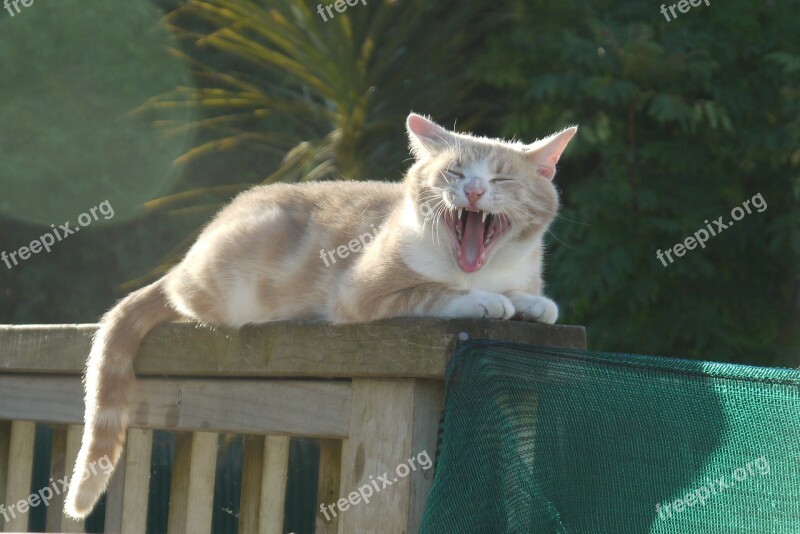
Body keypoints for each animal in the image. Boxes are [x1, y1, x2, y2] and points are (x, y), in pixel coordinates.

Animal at [62, 113, 576, 520]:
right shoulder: (360, 291)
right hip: (221, 283)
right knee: (177, 295)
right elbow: (437, 291)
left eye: (502, 180)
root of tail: (195, 250)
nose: (472, 188)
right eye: (454, 171)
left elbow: (532, 296)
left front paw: (533, 304)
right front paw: (485, 300)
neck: (481, 267)